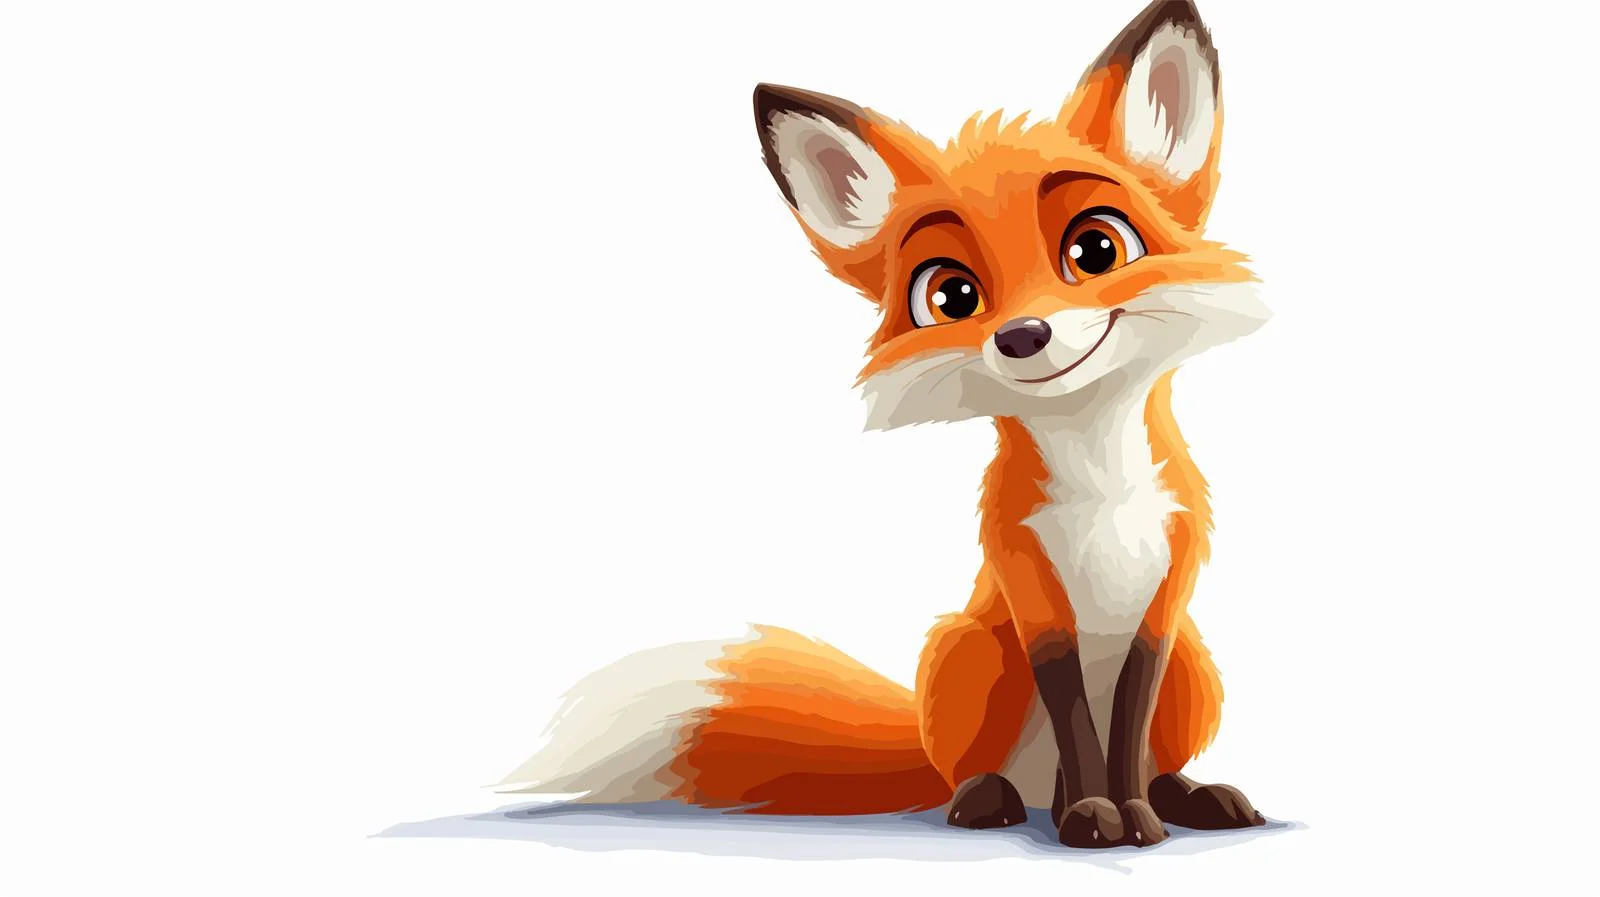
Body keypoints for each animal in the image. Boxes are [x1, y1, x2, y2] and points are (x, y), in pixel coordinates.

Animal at [503, 0, 1271, 849]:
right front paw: (1092, 817)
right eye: (952, 295)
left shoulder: (1167, 598)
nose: (1022, 336)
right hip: (963, 649)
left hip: (1198, 667)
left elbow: (1127, 723)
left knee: (1148, 758)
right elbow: (1075, 712)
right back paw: (993, 800)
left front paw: (1133, 813)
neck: (1101, 489)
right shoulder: (1029, 589)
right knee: (984, 772)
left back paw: (1191, 795)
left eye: (1097, 248)